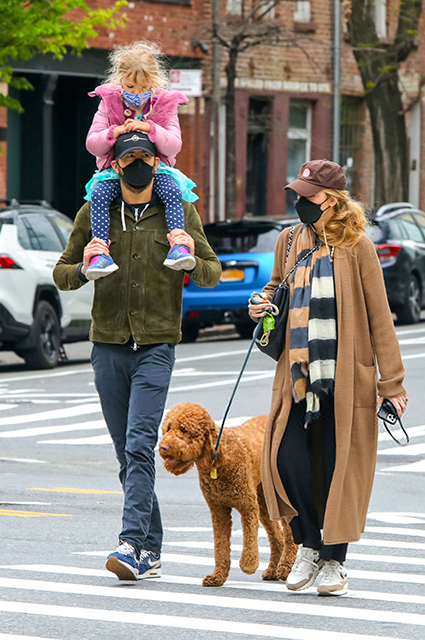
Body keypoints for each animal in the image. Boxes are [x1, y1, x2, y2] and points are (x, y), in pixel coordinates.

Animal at [157, 402, 296, 588]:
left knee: (289, 535)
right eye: (168, 429)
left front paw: (248, 564)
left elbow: (249, 541)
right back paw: (273, 570)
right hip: (264, 499)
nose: (163, 447)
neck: (217, 457)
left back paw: (285, 568)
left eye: (184, 429)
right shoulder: (218, 510)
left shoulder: (247, 506)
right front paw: (217, 576)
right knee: (277, 536)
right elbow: (220, 547)